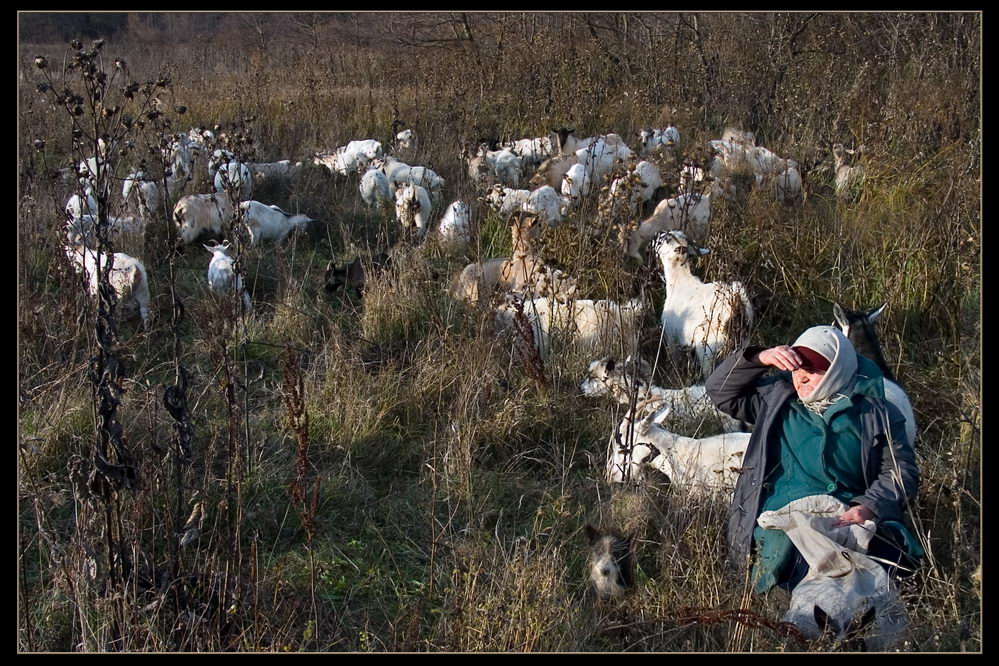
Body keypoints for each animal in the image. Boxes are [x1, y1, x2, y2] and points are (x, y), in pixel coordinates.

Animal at [656, 231, 752, 376]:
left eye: (667, 240)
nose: (659, 235)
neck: (679, 283)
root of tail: (737, 302)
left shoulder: (672, 336)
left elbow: (675, 361)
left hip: (708, 347)